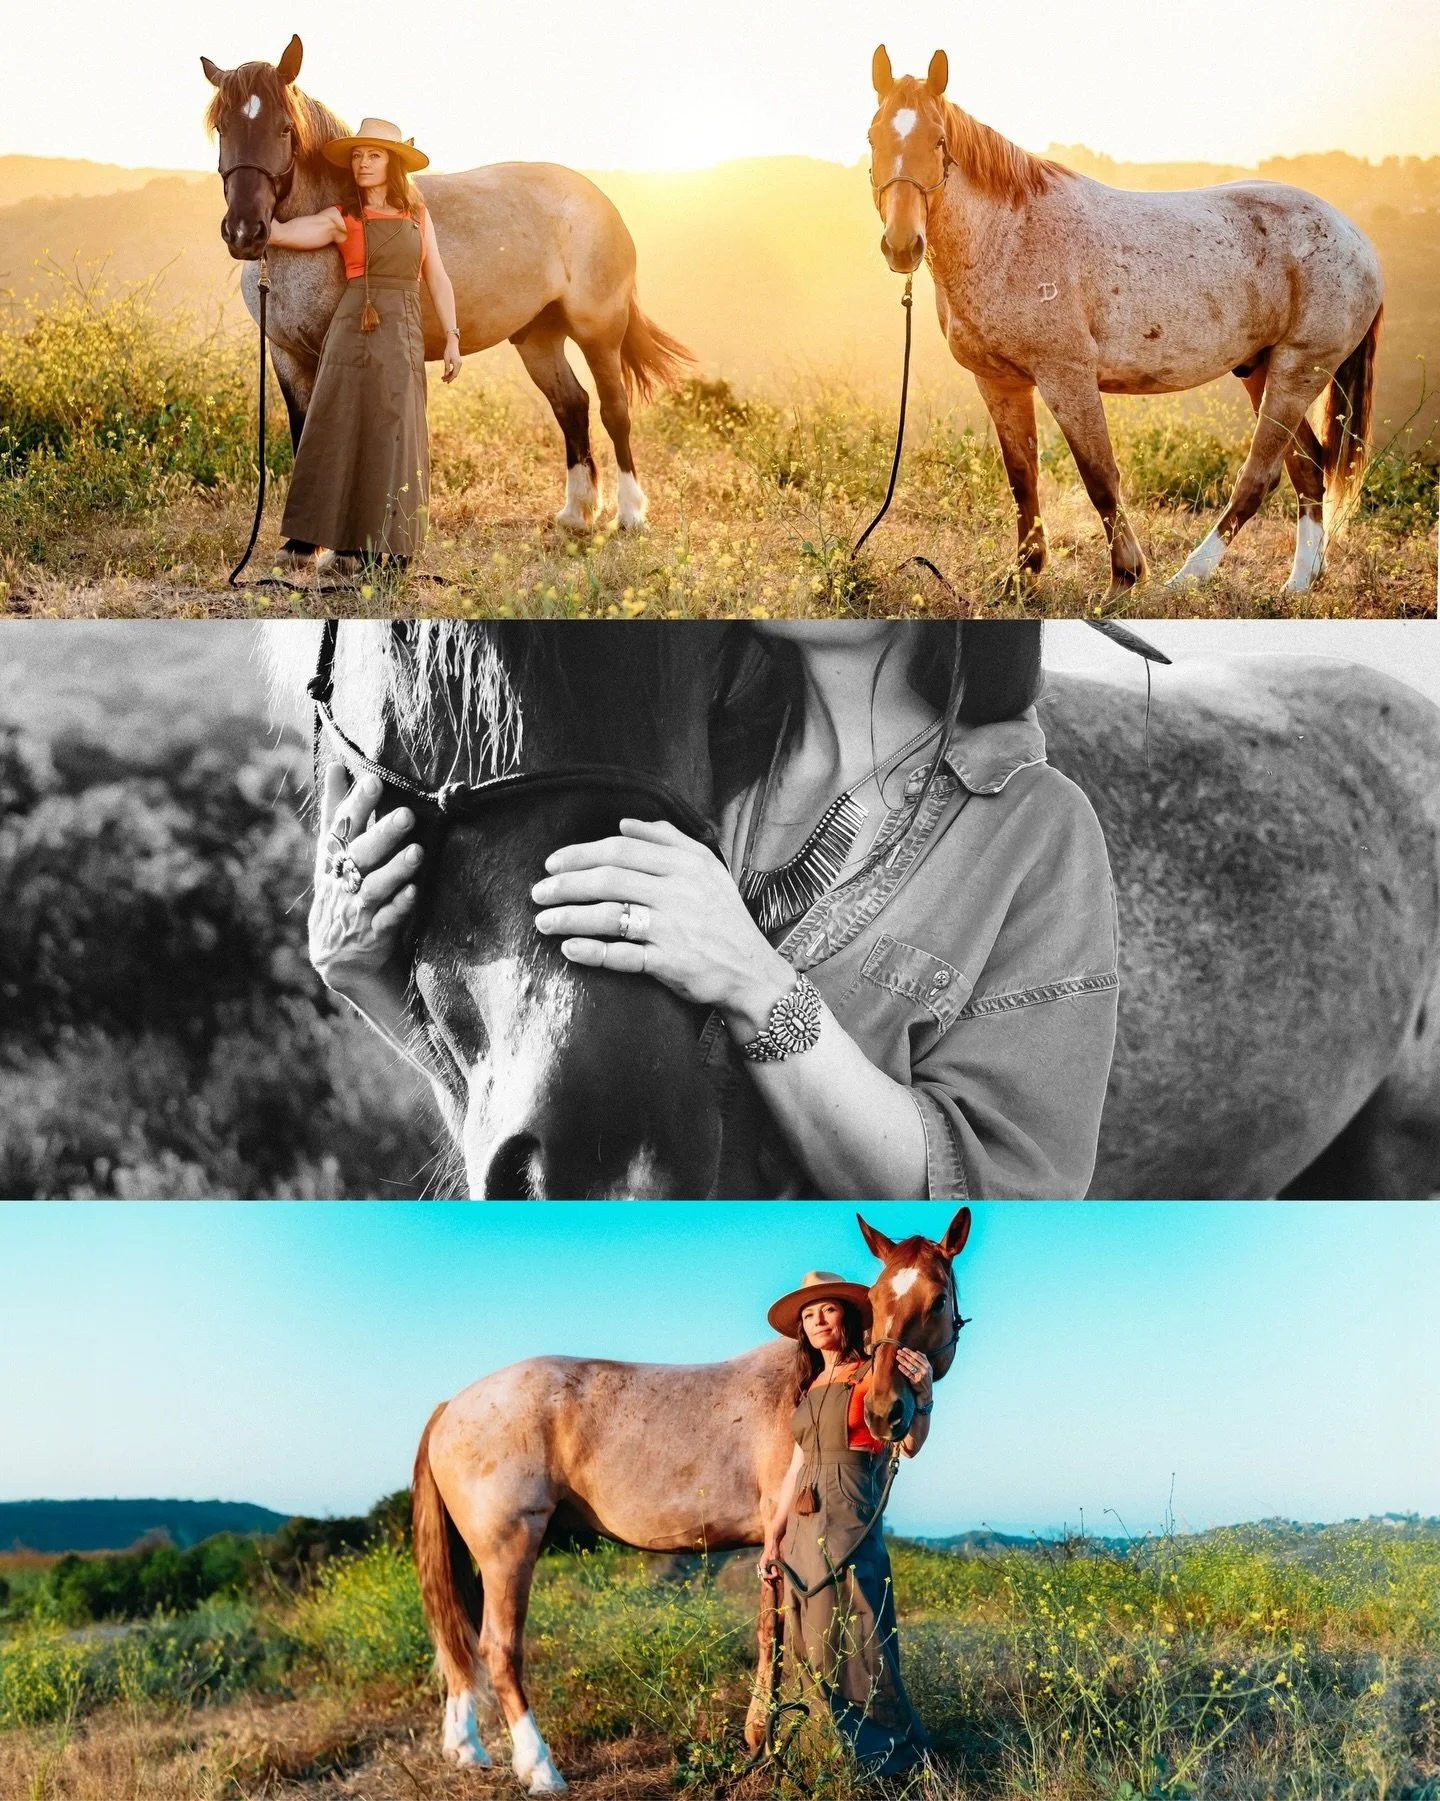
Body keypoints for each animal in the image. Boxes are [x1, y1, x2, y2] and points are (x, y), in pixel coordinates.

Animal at [202, 36, 692, 532]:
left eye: (285, 129)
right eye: (222, 128)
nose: (244, 231)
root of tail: (598, 200)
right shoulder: (285, 356)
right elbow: (303, 435)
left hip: (599, 333)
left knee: (615, 409)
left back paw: (629, 514)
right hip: (538, 337)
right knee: (571, 404)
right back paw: (576, 512)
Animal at [410, 1206, 971, 1791]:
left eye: (938, 1299)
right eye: (879, 1299)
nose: (886, 1409)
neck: (815, 1375)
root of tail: (452, 1405)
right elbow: (771, 1632)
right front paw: (762, 1736)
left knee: (459, 1642)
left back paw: (466, 1748)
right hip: (509, 1552)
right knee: (498, 1651)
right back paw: (540, 1768)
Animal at [867, 48, 1384, 598]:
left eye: (938, 140)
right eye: (874, 138)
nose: (902, 245)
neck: (1008, 234)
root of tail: (1357, 240)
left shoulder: (1066, 377)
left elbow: (1099, 475)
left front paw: (1124, 576)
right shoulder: (999, 381)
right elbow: (1022, 475)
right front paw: (1023, 574)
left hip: (1297, 372)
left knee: (1259, 477)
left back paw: (1187, 577)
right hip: (1262, 370)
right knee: (1307, 469)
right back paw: (1300, 583)